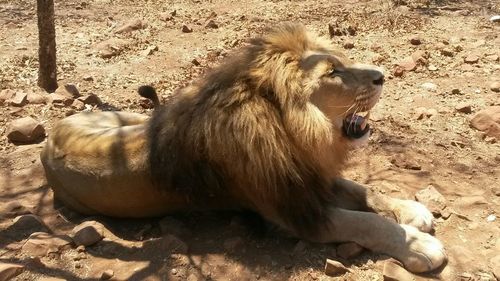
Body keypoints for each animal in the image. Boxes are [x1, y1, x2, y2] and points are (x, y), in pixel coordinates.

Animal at [40, 23, 446, 272]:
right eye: (332, 73)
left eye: (341, 62)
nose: (382, 75)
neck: (295, 133)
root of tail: (51, 134)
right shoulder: (296, 211)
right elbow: (366, 222)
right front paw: (418, 245)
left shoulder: (308, 176)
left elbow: (364, 191)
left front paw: (410, 210)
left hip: (128, 120)